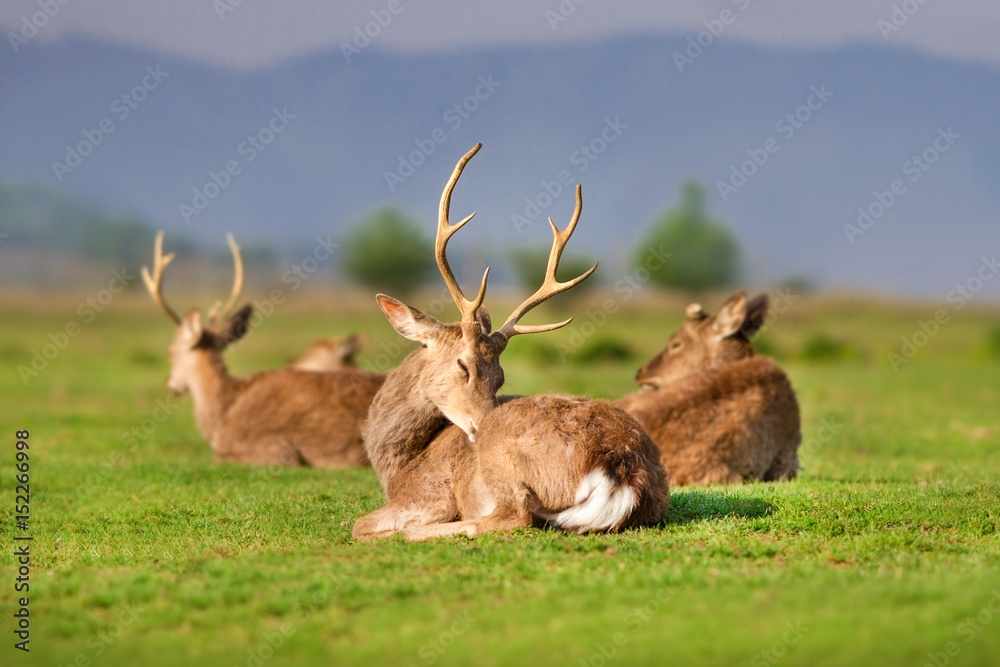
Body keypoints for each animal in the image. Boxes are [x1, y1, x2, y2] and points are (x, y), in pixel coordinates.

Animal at [351, 144, 668, 542]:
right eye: (463, 365)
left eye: (499, 377)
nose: (482, 424)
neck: (396, 468)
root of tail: (621, 465)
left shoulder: (427, 493)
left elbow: (358, 524)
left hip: (503, 461)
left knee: (514, 516)